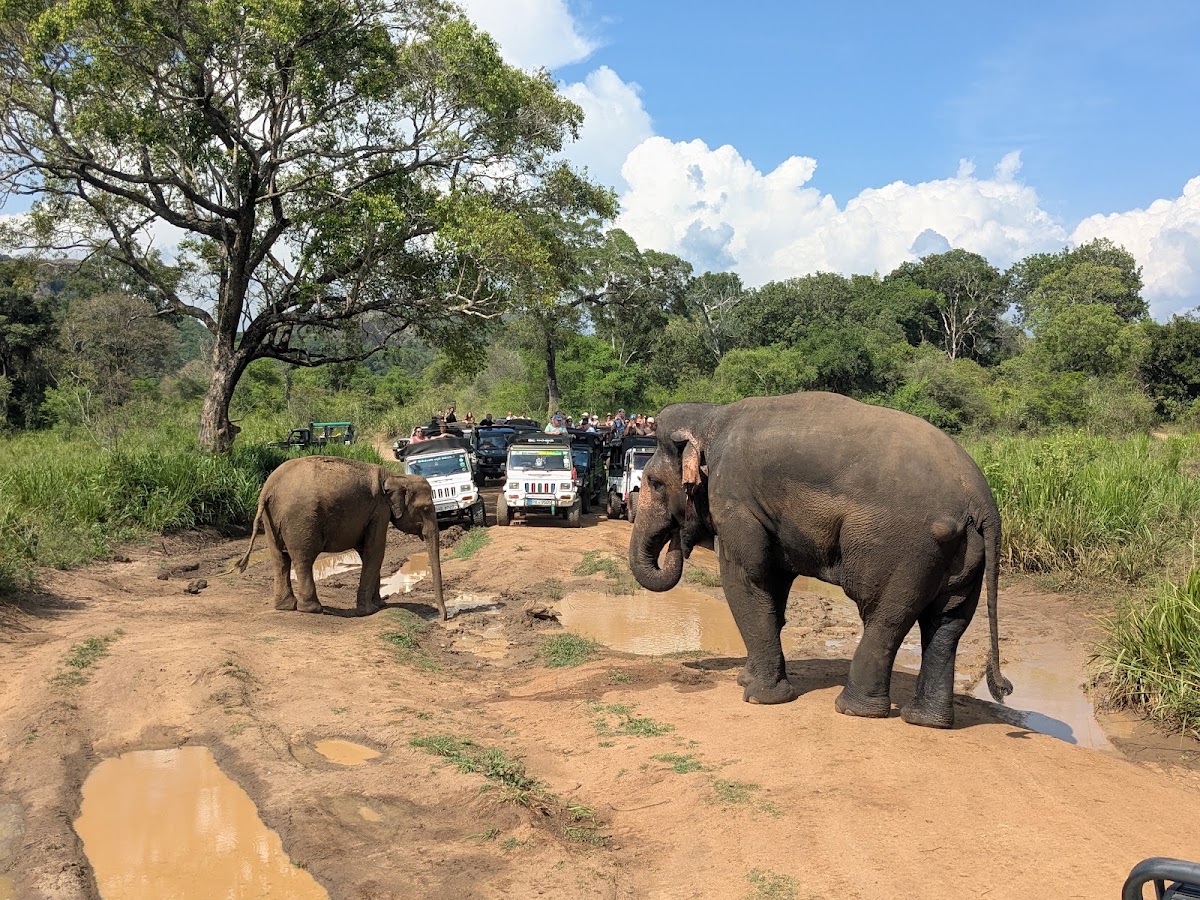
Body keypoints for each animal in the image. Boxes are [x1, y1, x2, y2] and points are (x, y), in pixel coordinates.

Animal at [236, 456, 446, 619]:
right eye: (426, 509)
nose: (443, 617)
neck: (396, 476)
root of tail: (267, 489)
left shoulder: (372, 512)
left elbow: (366, 552)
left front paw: (380, 605)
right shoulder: (380, 510)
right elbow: (375, 551)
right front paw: (369, 611)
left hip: (270, 519)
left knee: (280, 559)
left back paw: (285, 607)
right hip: (301, 519)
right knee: (303, 559)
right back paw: (313, 609)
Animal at [627, 392, 1011, 728]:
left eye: (655, 483)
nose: (678, 540)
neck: (712, 417)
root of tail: (982, 500)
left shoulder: (736, 499)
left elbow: (747, 578)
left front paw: (758, 697)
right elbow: (774, 584)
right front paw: (746, 680)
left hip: (906, 548)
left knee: (886, 617)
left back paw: (853, 710)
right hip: (964, 554)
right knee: (948, 624)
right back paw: (925, 721)